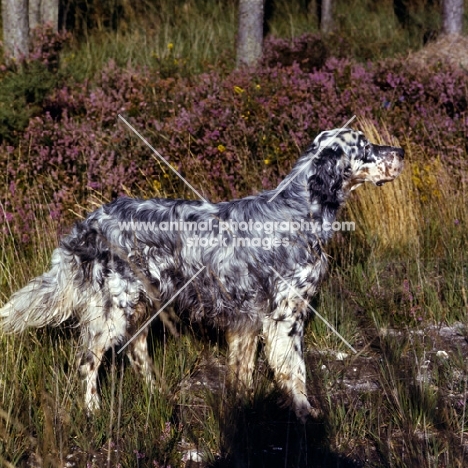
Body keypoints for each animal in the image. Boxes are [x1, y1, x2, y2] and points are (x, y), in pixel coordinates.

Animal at [0, 127, 404, 420]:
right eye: (364, 146)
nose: (400, 151)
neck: (297, 210)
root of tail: (89, 223)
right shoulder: (285, 316)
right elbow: (295, 371)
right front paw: (306, 414)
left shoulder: (246, 323)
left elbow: (243, 372)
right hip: (112, 310)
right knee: (87, 362)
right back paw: (92, 410)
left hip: (142, 307)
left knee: (136, 351)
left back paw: (156, 393)